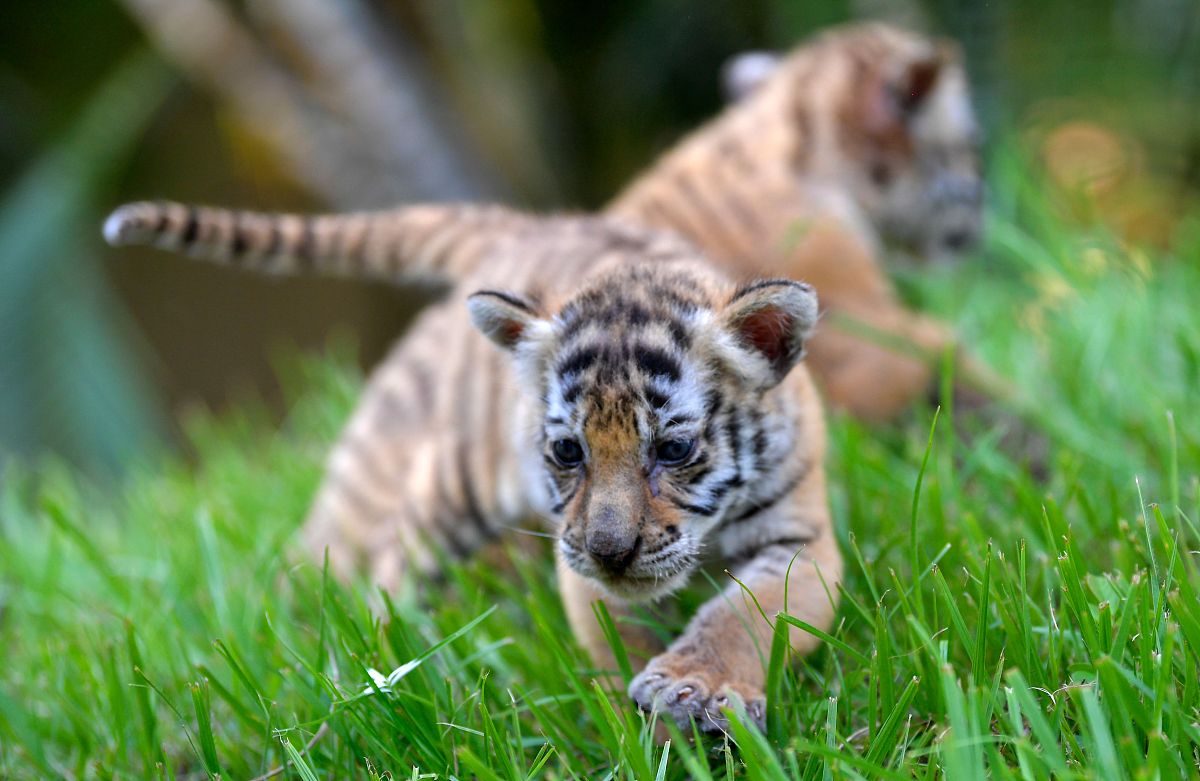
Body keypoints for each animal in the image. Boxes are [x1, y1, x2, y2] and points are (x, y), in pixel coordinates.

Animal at [104, 200, 842, 733]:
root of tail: (534, 223)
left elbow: (746, 615)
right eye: (569, 452)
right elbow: (618, 634)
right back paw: (383, 666)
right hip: (446, 487)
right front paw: (647, 720)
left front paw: (693, 686)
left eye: (673, 450)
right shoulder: (578, 559)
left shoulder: (799, 541)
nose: (610, 552)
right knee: (383, 563)